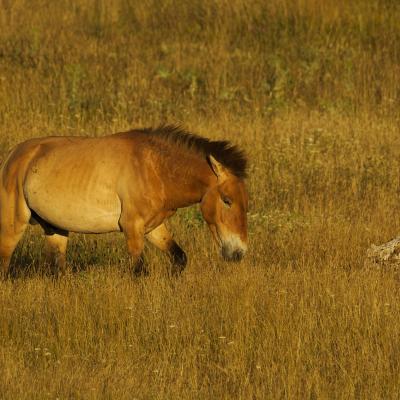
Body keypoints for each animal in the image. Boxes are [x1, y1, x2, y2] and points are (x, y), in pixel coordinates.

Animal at [0, 125, 248, 278]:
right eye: (227, 200)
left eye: (246, 203)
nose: (239, 253)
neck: (154, 167)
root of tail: (13, 155)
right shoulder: (132, 228)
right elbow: (139, 271)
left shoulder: (153, 227)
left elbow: (179, 258)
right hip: (13, 226)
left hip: (56, 229)